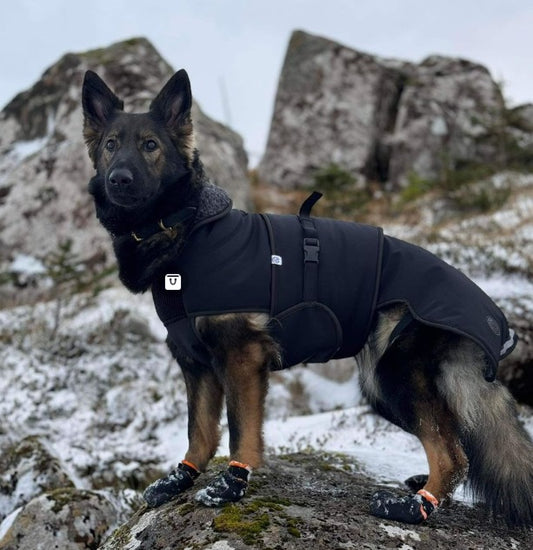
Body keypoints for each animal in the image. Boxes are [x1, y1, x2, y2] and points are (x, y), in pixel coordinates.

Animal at [82, 71, 532, 528]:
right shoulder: (196, 364)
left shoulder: (241, 357)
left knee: (452, 452)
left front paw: (231, 485)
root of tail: (493, 316)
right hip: (384, 385)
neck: (187, 227)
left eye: (150, 145)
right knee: (453, 441)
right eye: (111, 144)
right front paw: (181, 478)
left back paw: (413, 507)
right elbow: (201, 431)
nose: (119, 178)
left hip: (394, 377)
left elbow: (241, 429)